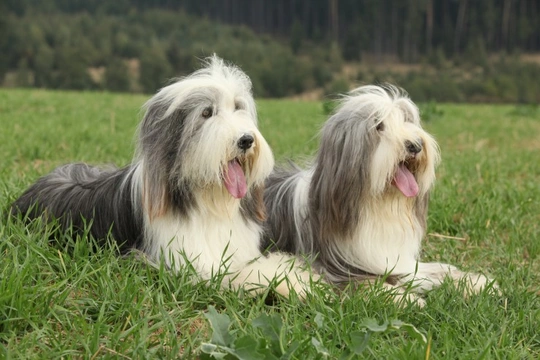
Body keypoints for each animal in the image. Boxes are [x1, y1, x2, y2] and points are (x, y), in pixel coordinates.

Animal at [11, 55, 316, 298]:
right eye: (207, 113)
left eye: (238, 107)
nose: (246, 140)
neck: (208, 202)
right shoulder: (183, 263)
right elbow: (236, 275)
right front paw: (290, 284)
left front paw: (301, 279)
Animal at [264, 86, 496, 306]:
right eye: (379, 126)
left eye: (406, 120)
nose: (415, 145)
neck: (377, 204)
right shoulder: (332, 269)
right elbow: (367, 284)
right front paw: (404, 298)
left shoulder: (395, 261)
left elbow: (431, 272)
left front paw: (476, 283)